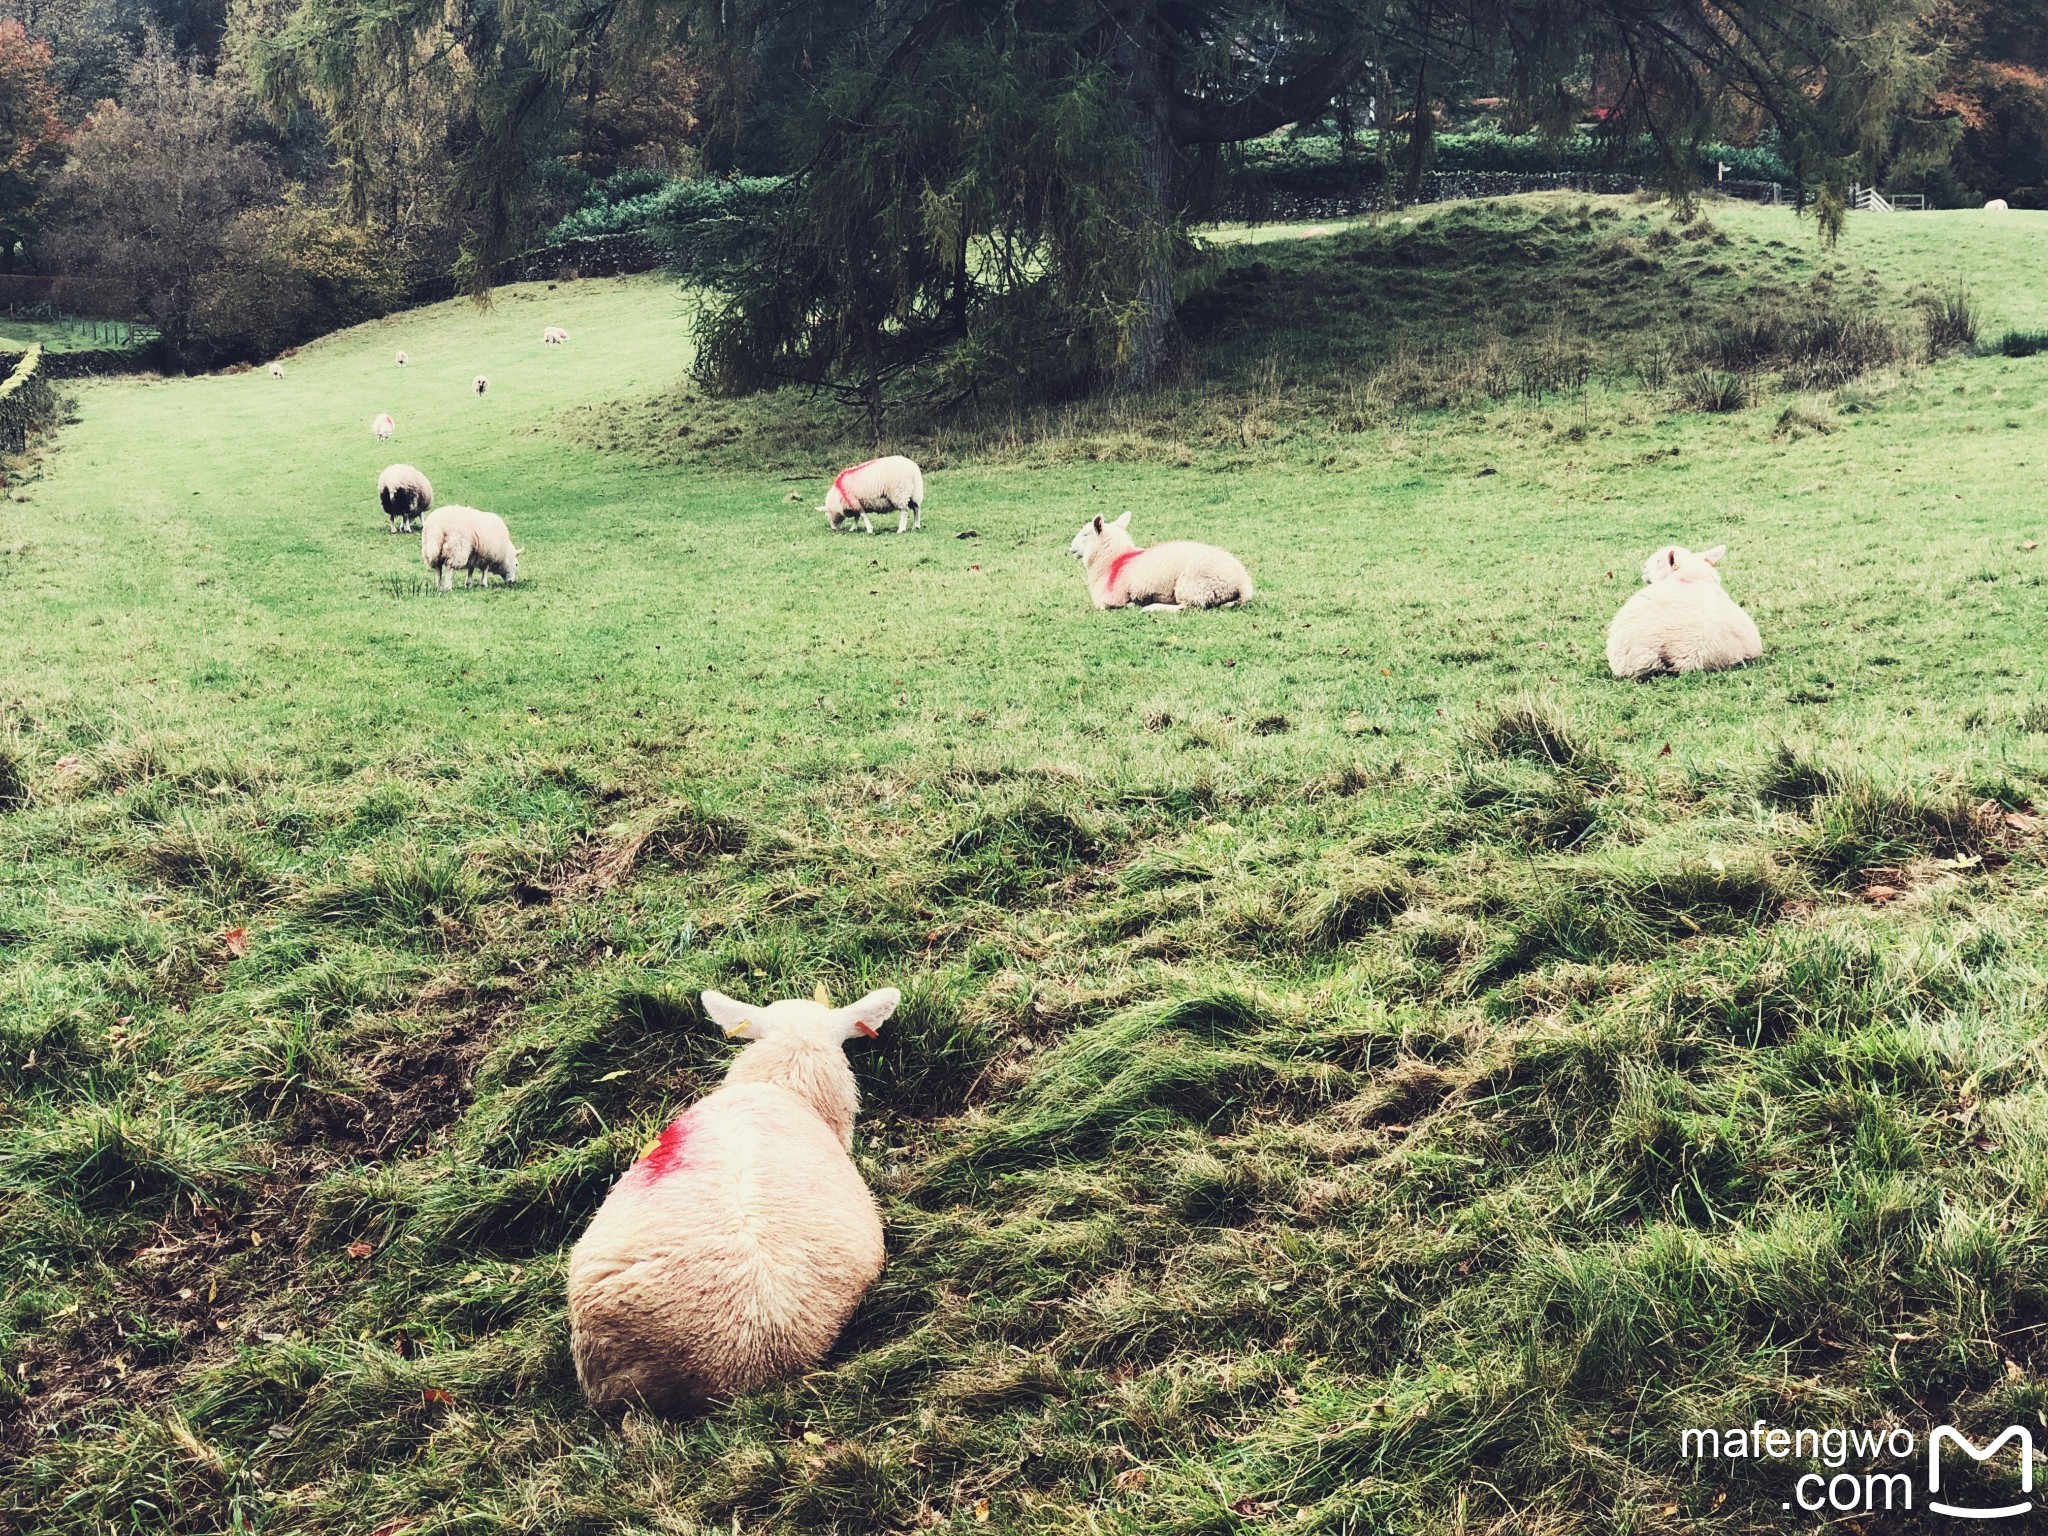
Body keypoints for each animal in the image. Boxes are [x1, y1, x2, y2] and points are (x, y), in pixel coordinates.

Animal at [1064, 514, 1253, 618]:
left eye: (1085, 534)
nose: (1070, 547)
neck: (1113, 561)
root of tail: (1241, 582)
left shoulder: (1111, 599)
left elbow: (1109, 606)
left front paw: (1133, 605)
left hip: (1193, 585)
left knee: (1188, 607)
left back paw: (1151, 608)